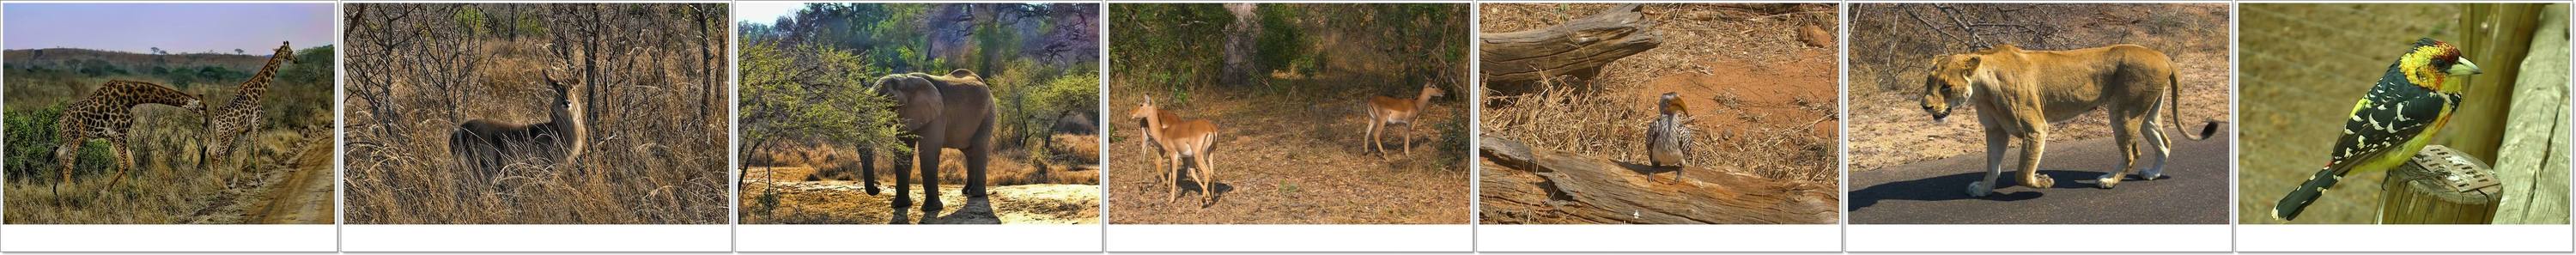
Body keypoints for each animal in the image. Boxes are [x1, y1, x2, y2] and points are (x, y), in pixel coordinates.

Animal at [52, 80, 206, 197]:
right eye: (203, 108)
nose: (205, 122)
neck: (131, 98)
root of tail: (61, 120)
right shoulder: (121, 132)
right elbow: (125, 164)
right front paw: (105, 191)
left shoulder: (114, 136)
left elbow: (126, 163)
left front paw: (128, 189)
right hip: (75, 138)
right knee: (69, 164)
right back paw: (69, 192)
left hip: (68, 139)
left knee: (60, 155)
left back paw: (56, 190)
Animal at [204, 41, 300, 168]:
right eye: (291, 51)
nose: (296, 60)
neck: (259, 92)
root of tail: (214, 120)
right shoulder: (256, 123)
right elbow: (256, 151)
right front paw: (257, 173)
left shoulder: (245, 129)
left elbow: (243, 152)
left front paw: (242, 169)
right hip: (227, 135)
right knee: (218, 154)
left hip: (215, 134)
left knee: (211, 152)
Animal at [456, 70, 595, 186]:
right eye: (557, 90)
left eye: (573, 89)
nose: (566, 102)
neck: (558, 133)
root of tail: (460, 129)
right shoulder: (546, 167)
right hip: (482, 165)